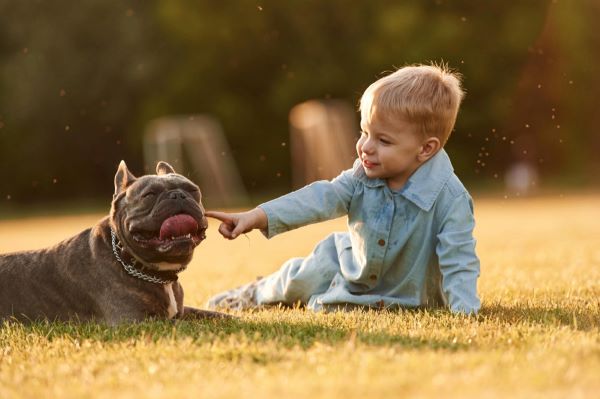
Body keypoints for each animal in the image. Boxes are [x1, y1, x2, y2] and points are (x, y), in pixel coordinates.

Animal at [0, 160, 225, 324]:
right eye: (149, 195)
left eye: (193, 190)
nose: (178, 195)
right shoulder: (136, 320)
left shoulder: (182, 310)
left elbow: (214, 316)